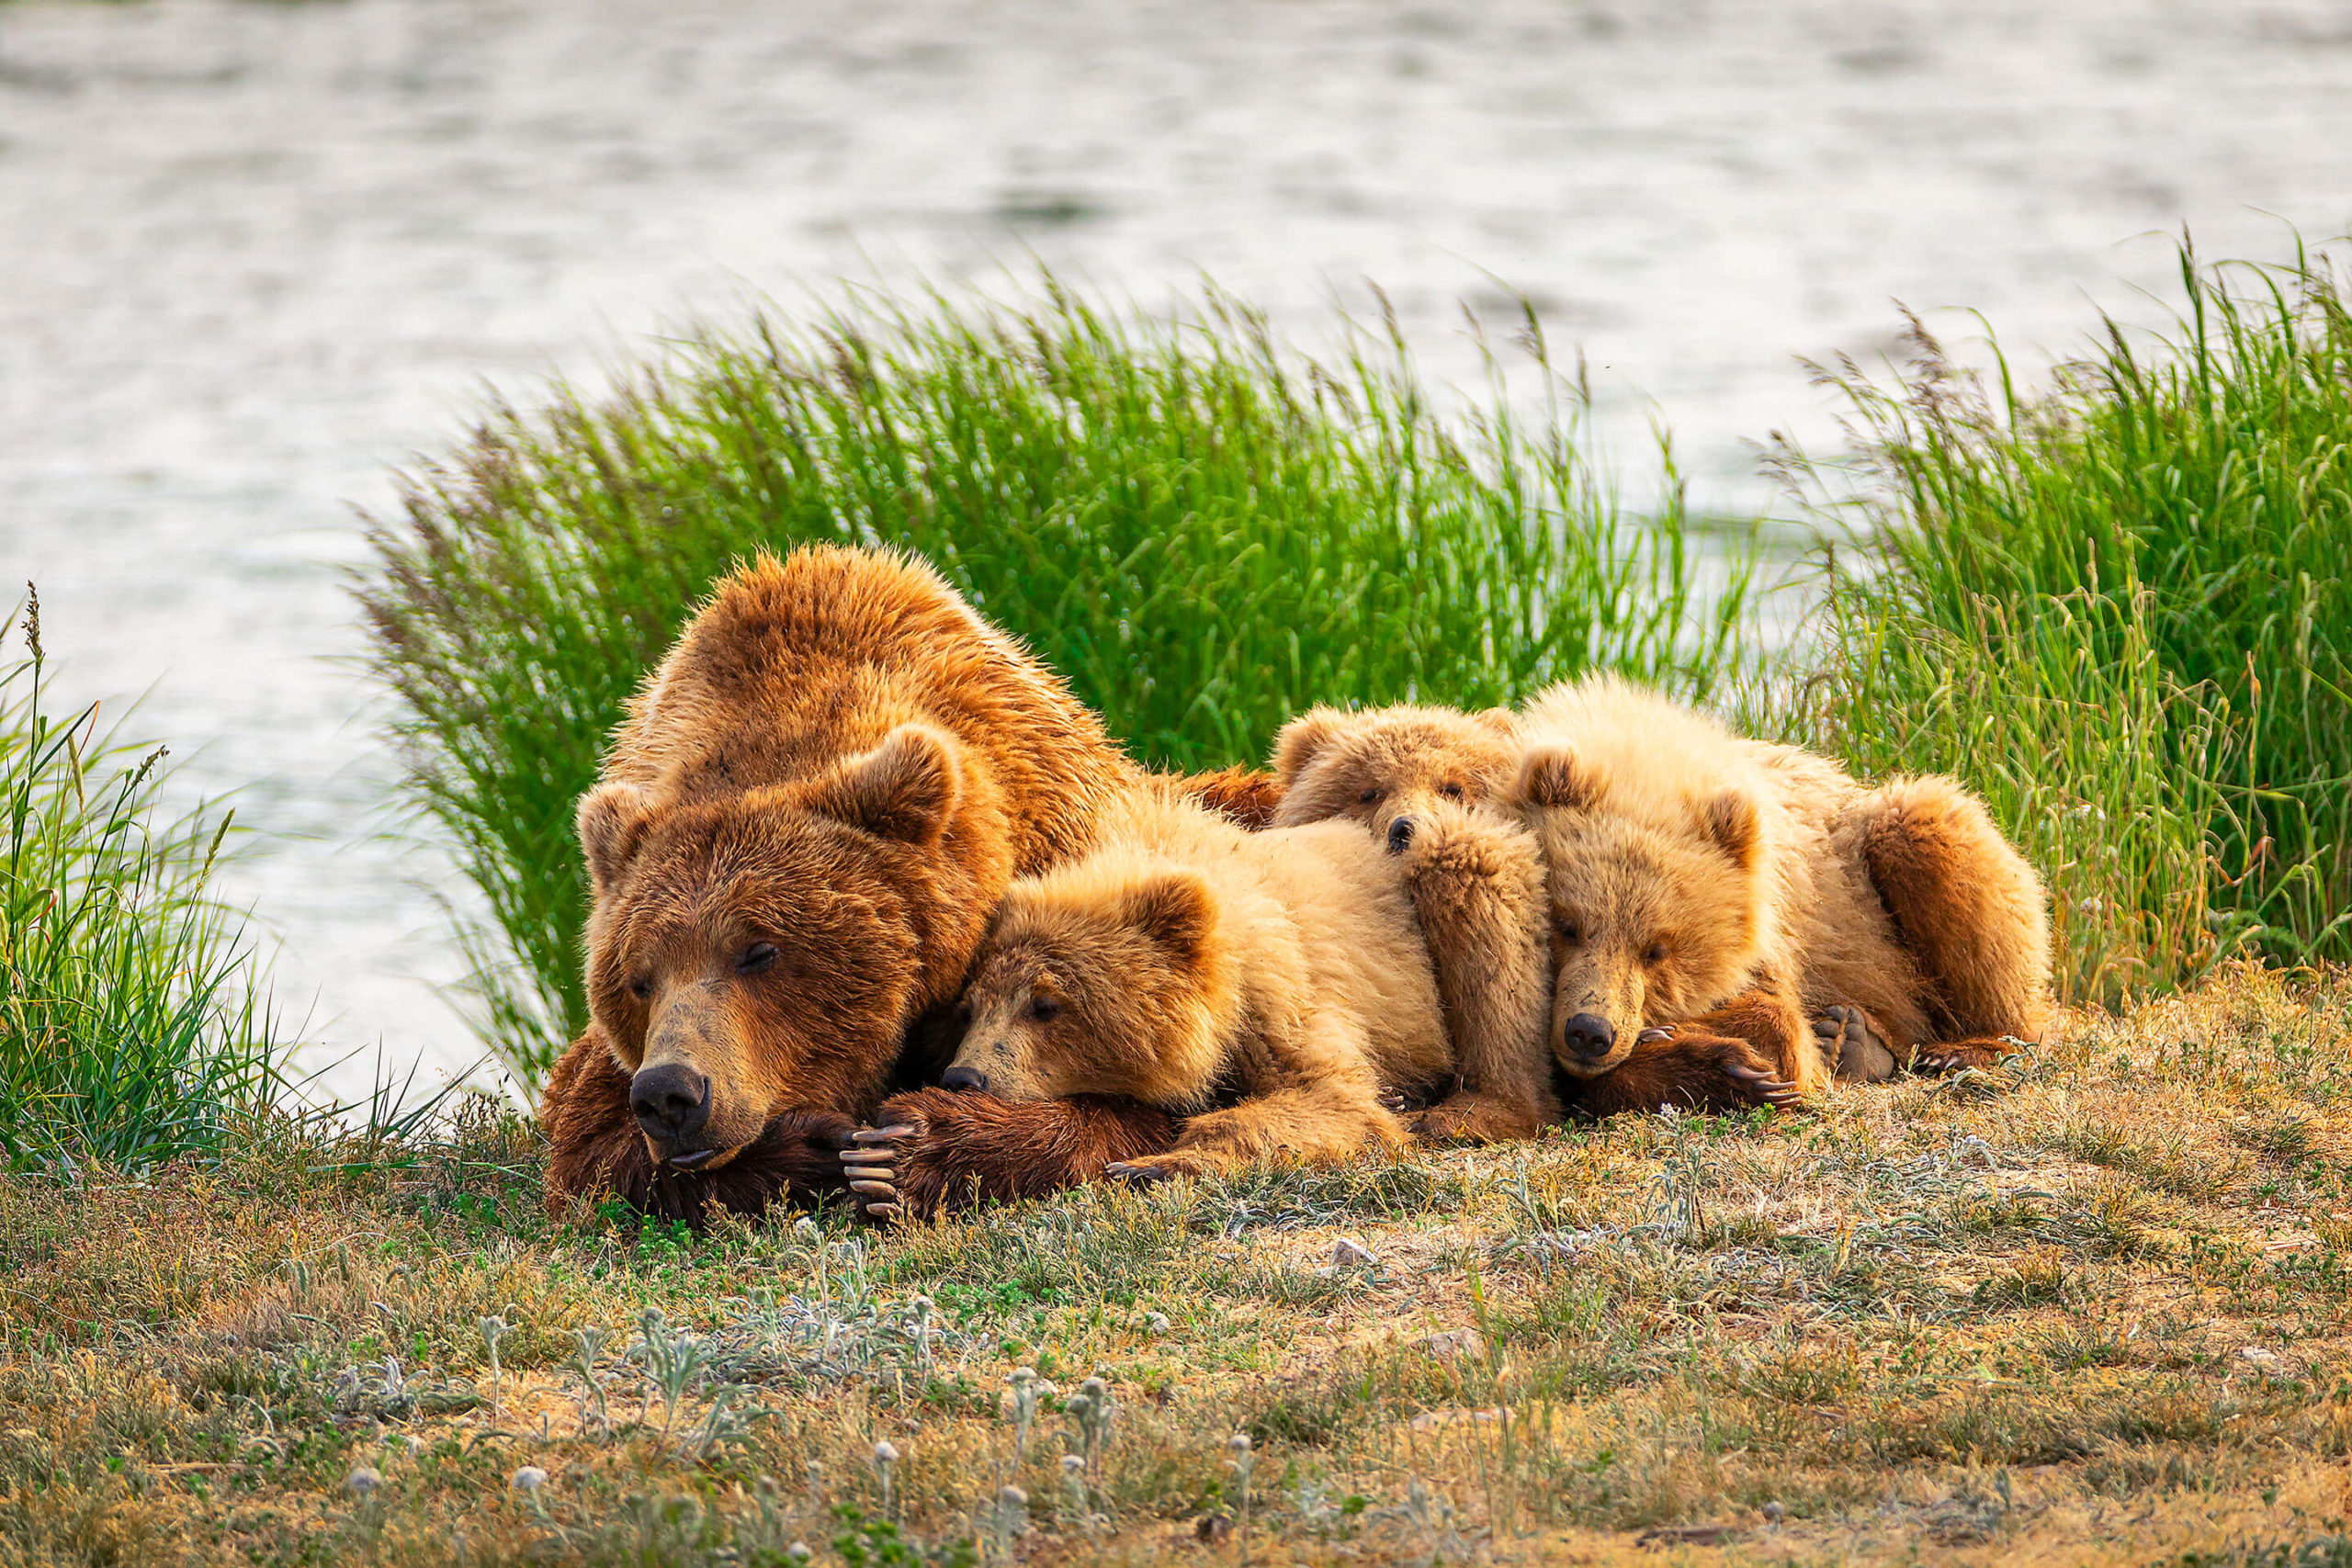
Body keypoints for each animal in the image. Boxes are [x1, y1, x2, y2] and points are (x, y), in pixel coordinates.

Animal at [540, 545, 1219, 1223]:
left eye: (759, 950)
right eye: (638, 980)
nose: (670, 1093)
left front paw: (909, 1147)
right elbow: (590, 1148)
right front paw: (817, 1145)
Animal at [835, 787, 1556, 1210]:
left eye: (1046, 1004)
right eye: (970, 1006)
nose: (966, 1076)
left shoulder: (1284, 996)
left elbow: (1335, 1101)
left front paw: (1154, 1163)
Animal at [1508, 676, 2053, 1098]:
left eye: (1658, 949)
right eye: (1567, 925)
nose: (1589, 1032)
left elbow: (1777, 1024)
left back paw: (1960, 1048)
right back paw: (1857, 1041)